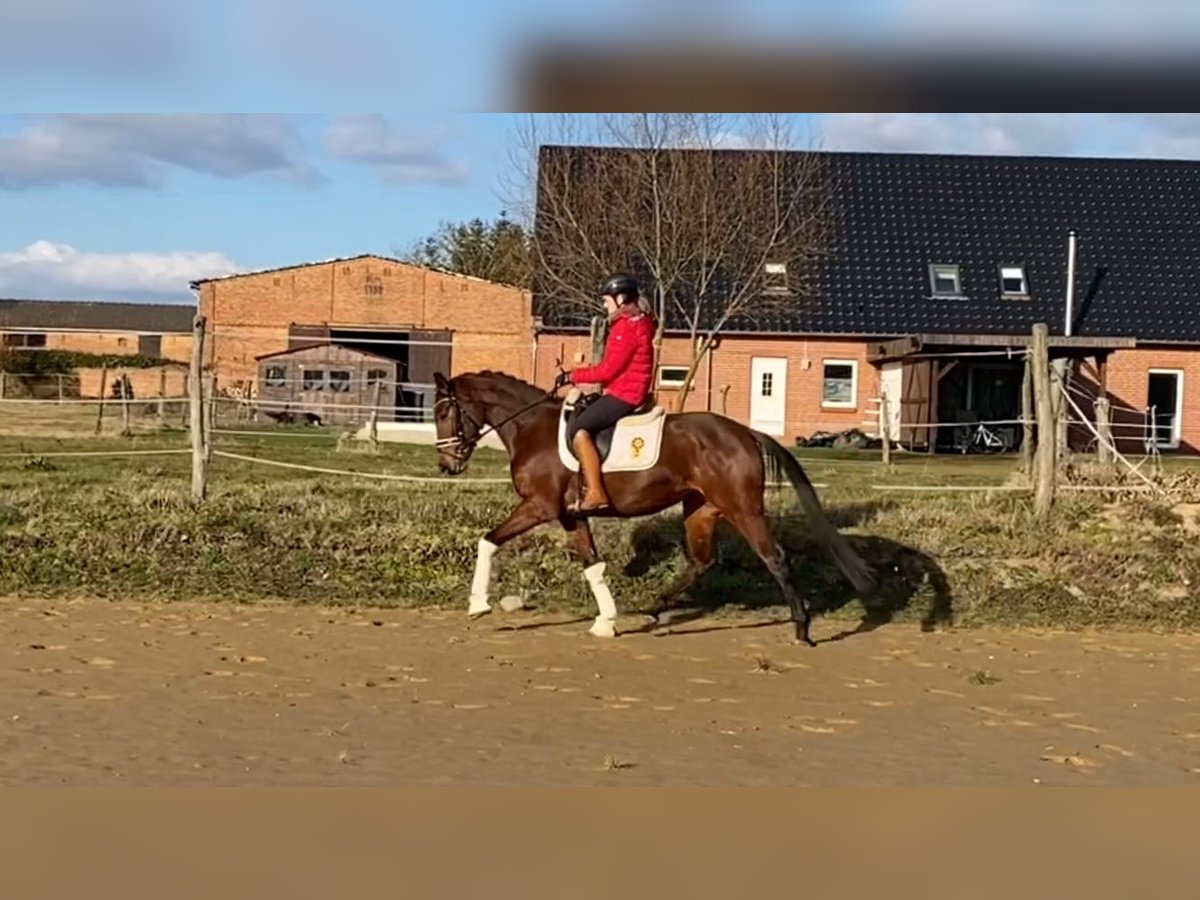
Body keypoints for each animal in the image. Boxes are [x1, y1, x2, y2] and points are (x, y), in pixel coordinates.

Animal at [432, 369, 873, 643]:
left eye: (444, 411)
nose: (447, 465)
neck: (531, 429)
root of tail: (745, 432)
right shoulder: (570, 516)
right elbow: (593, 565)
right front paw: (606, 622)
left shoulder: (539, 506)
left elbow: (487, 541)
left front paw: (477, 604)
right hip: (701, 510)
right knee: (702, 560)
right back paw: (657, 607)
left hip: (742, 508)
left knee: (774, 557)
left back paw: (802, 629)